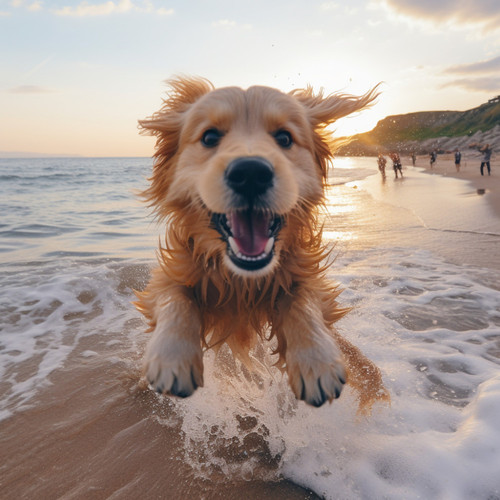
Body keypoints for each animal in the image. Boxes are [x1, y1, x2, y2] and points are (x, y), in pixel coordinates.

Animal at [135, 76, 388, 408]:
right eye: (209, 137)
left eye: (284, 137)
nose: (250, 173)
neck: (242, 281)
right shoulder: (175, 270)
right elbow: (175, 298)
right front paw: (171, 356)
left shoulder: (302, 274)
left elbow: (304, 303)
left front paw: (317, 360)